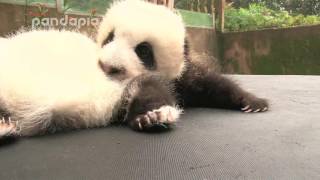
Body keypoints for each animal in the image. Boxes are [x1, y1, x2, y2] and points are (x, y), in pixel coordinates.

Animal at [95, 0, 268, 130]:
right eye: (109, 38)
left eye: (143, 51)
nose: (108, 66)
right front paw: (150, 115)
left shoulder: (186, 76)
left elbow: (213, 85)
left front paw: (253, 102)